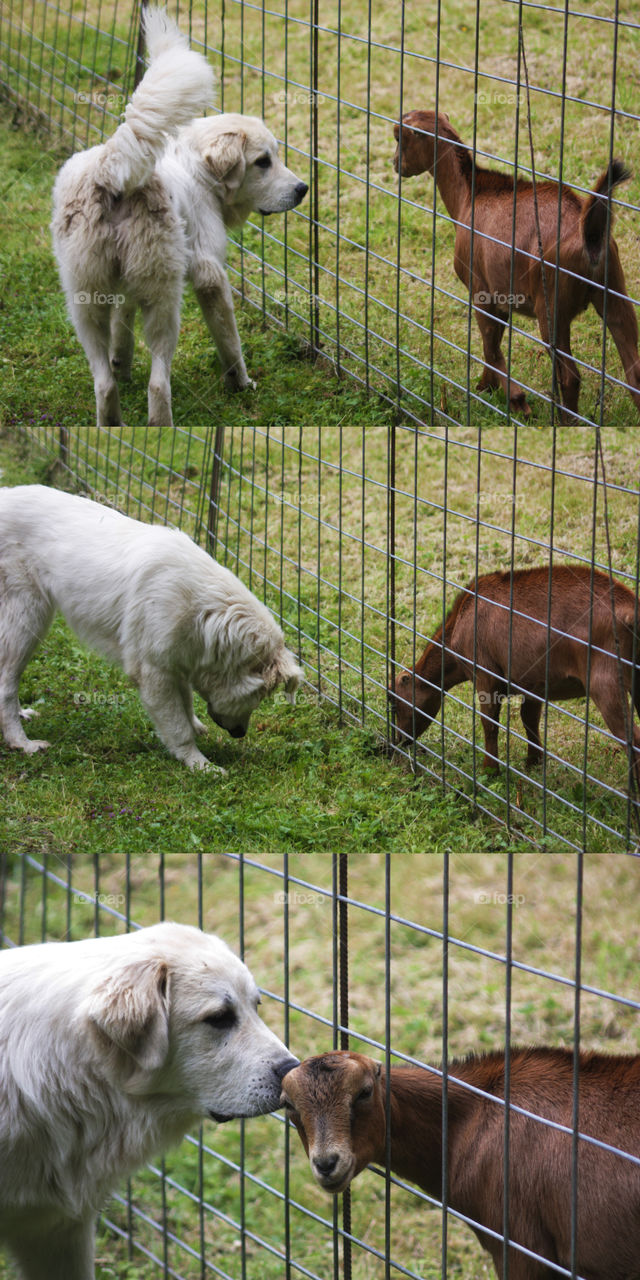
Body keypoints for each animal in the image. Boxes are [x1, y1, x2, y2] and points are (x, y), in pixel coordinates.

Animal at [389, 564, 640, 784]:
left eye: (394, 703)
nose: (399, 740)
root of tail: (630, 611)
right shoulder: (535, 683)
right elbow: (529, 718)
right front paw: (533, 762)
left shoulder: (485, 674)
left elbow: (489, 722)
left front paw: (490, 771)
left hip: (605, 681)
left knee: (633, 740)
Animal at [393, 110, 640, 422]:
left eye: (399, 136)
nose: (395, 164)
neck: (469, 196)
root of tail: (588, 233)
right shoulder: (500, 296)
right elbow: (494, 344)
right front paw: (487, 388)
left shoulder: (480, 290)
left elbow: (490, 346)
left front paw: (516, 399)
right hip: (614, 291)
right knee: (634, 371)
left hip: (551, 306)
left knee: (570, 376)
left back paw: (566, 421)